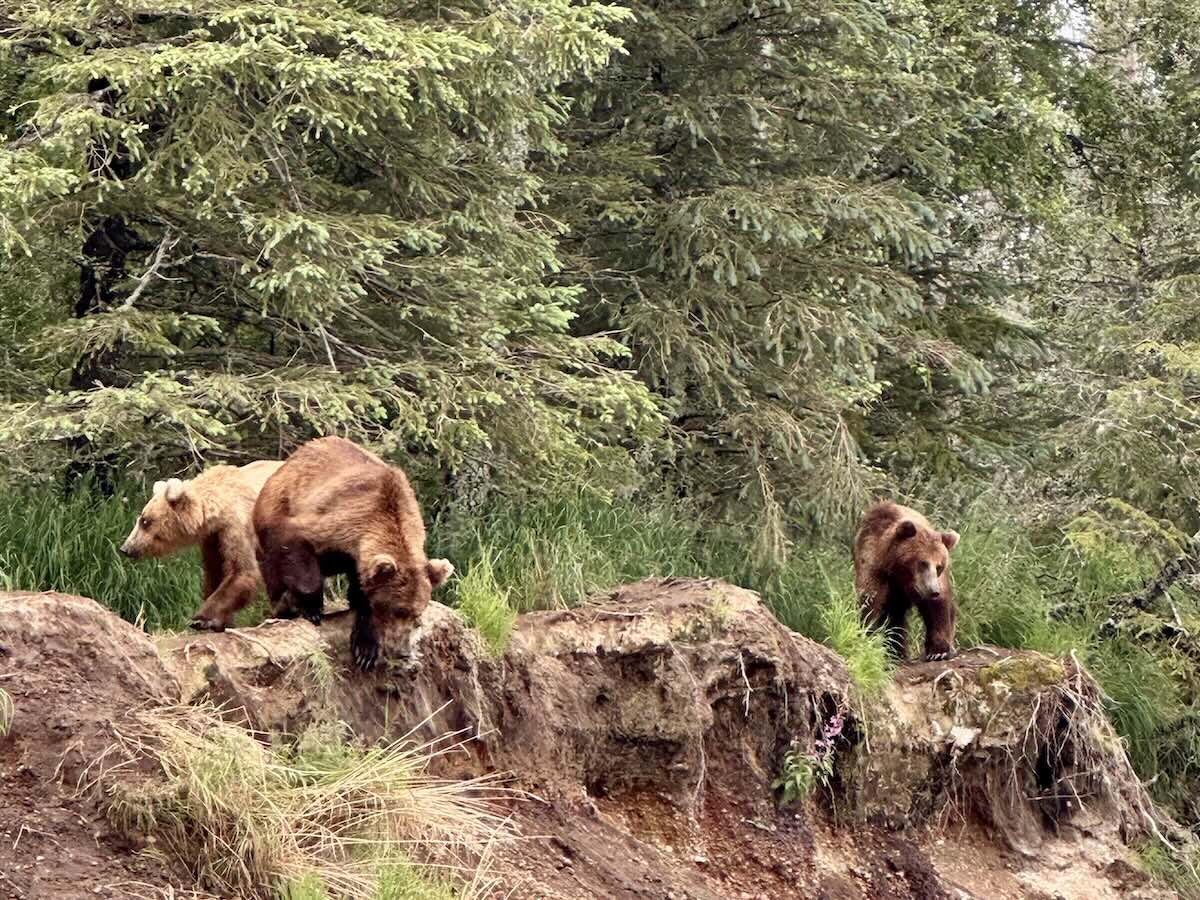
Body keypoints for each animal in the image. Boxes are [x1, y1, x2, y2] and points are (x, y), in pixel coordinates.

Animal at [120, 460, 284, 631]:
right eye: (141, 518)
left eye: (145, 521)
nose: (126, 548)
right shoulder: (214, 537)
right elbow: (215, 571)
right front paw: (220, 621)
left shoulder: (239, 525)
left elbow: (242, 570)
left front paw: (201, 619)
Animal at [252, 436, 454, 672]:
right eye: (398, 610)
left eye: (417, 615)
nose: (403, 651)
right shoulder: (329, 520)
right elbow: (298, 549)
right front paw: (310, 608)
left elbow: (364, 596)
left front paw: (366, 648)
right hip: (272, 511)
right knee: (273, 569)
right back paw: (284, 607)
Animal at [853, 500, 960, 662]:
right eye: (922, 563)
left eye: (939, 566)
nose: (933, 591)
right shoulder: (873, 566)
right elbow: (870, 602)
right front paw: (867, 637)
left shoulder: (933, 583)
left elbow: (938, 608)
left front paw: (939, 651)